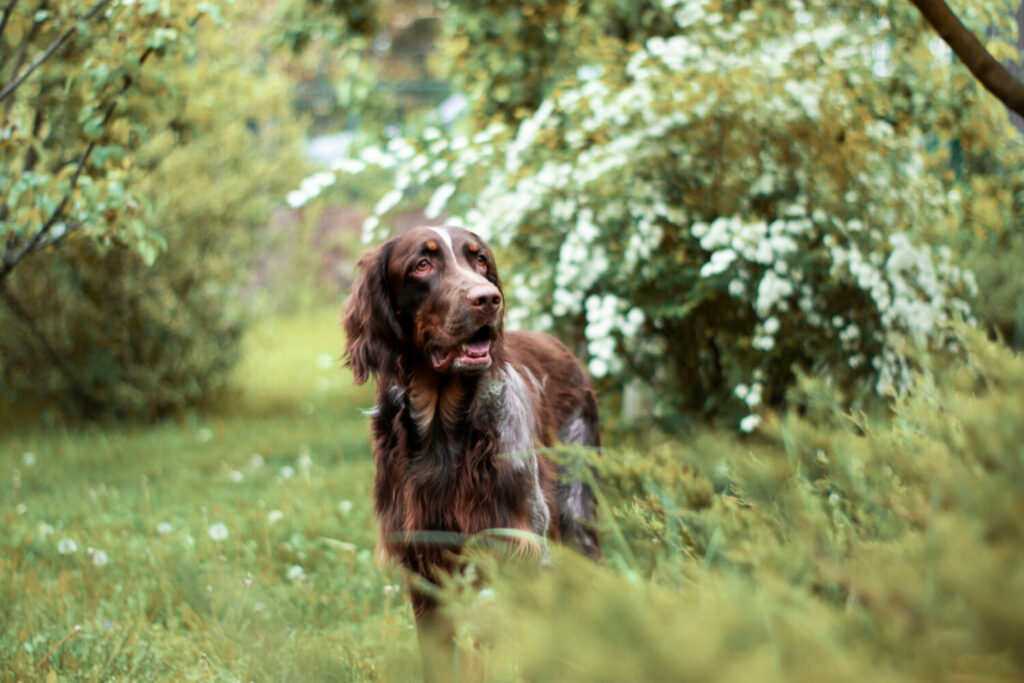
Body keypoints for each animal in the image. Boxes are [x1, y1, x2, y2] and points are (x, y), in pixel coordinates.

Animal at [344, 225, 598, 643]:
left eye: (480, 260)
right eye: (422, 264)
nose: (489, 299)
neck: (440, 431)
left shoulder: (517, 546)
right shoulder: (425, 567)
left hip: (577, 512)